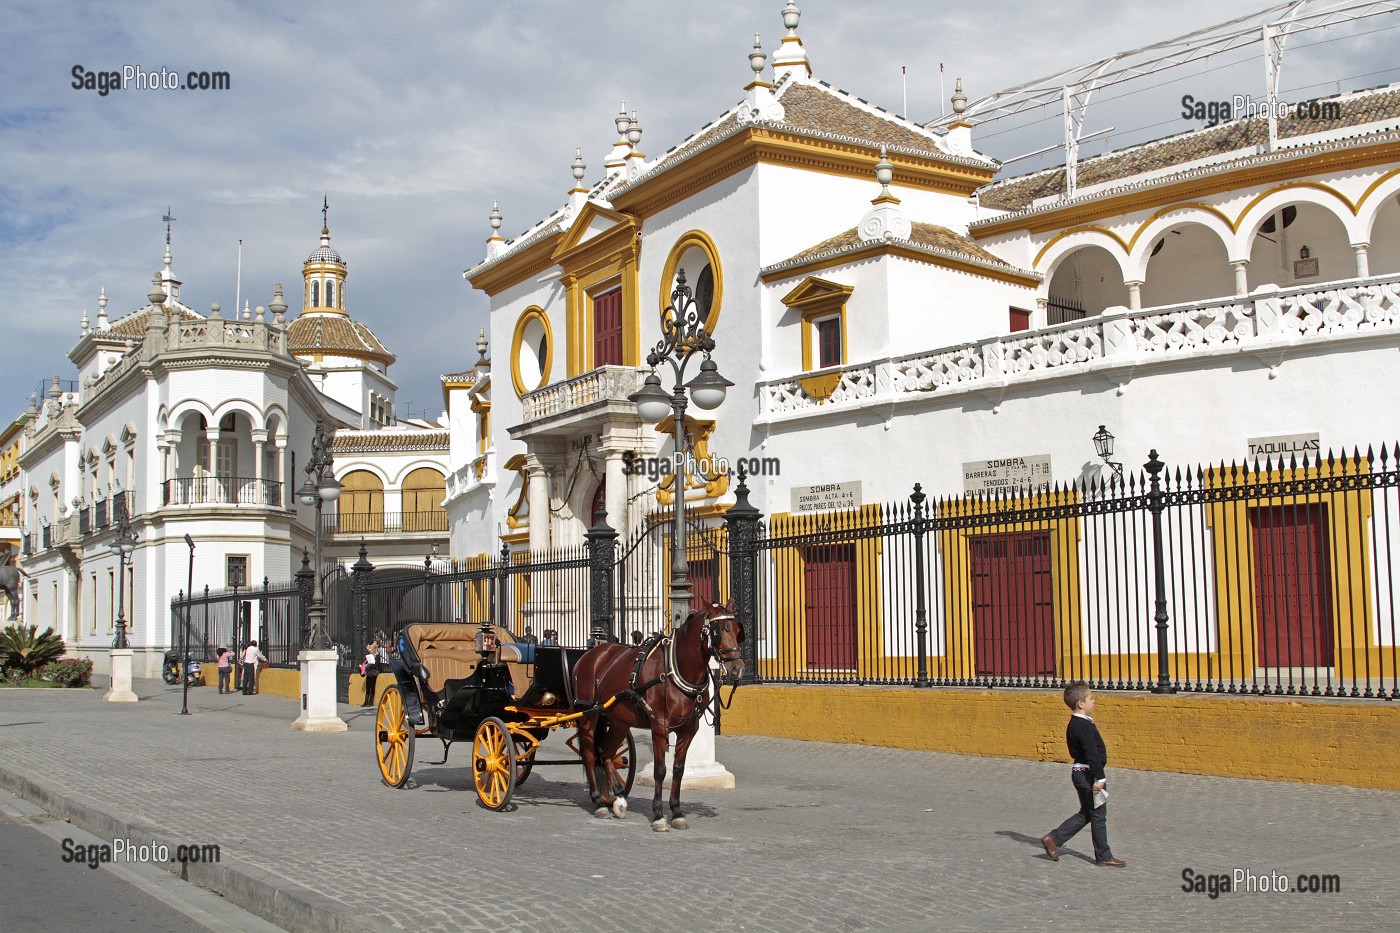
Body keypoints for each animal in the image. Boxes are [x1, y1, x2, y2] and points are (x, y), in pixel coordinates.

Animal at [568, 599, 744, 829]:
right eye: (717, 632)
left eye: (738, 631)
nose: (737, 669)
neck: (678, 670)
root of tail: (591, 654)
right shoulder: (659, 725)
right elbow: (660, 770)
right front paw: (659, 815)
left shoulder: (689, 729)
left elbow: (678, 769)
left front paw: (677, 812)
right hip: (589, 715)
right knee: (590, 753)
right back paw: (599, 802)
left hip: (619, 720)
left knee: (605, 752)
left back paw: (619, 797)